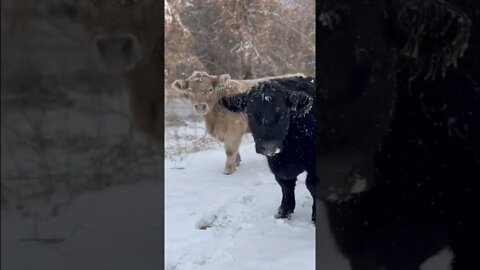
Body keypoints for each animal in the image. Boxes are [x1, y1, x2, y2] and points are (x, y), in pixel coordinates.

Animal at [219, 75, 316, 221]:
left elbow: (312, 185)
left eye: (282, 113)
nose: (269, 146)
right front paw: (284, 211)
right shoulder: (277, 166)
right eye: (251, 114)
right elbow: (285, 185)